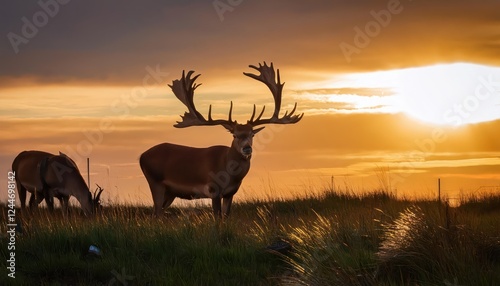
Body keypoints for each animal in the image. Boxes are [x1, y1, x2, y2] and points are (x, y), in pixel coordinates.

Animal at [139, 62, 302, 217]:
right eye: (234, 134)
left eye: (252, 134)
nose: (247, 148)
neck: (229, 172)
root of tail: (141, 156)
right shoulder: (213, 189)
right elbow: (217, 217)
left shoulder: (230, 193)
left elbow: (226, 216)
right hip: (155, 182)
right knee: (156, 212)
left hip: (170, 192)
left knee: (156, 214)